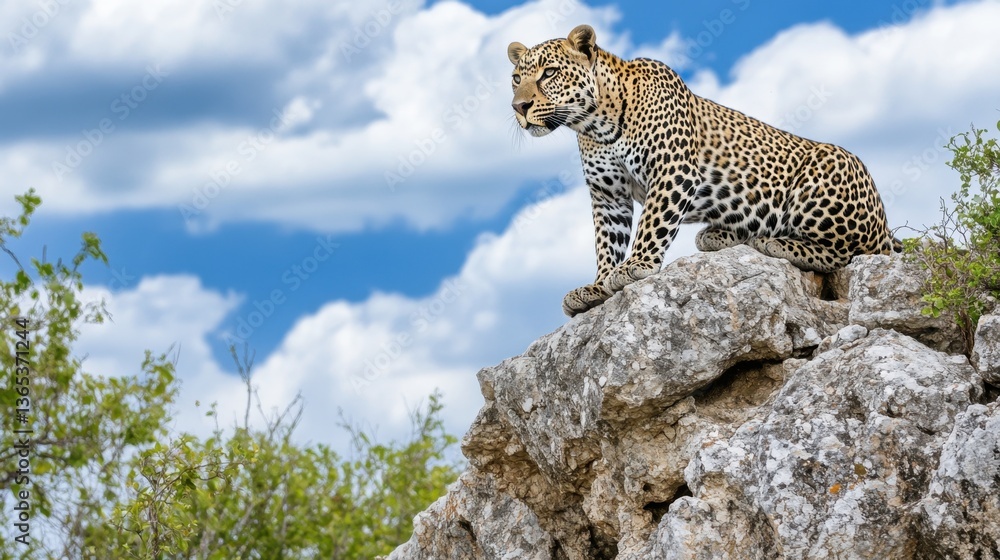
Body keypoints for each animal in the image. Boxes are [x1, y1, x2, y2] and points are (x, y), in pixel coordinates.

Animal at [507, 24, 899, 317]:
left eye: (549, 73)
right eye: (515, 78)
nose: (519, 107)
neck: (594, 124)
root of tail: (884, 222)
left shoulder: (671, 170)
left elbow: (652, 223)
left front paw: (636, 265)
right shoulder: (608, 194)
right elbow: (607, 241)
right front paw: (598, 286)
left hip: (829, 173)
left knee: (854, 252)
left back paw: (775, 242)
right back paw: (724, 236)